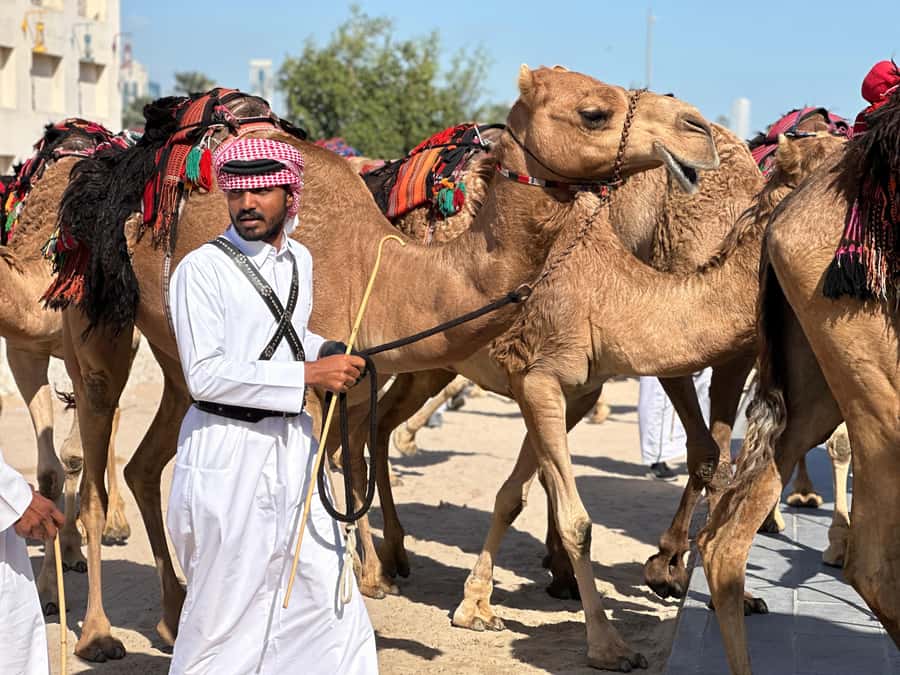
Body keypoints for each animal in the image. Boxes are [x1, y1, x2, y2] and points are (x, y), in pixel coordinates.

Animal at [0, 123, 138, 612]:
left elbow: (77, 454)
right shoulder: (23, 350)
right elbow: (49, 471)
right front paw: (46, 590)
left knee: (109, 420)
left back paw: (113, 526)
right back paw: (76, 547)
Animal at [52, 69, 719, 662]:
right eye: (593, 112)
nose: (699, 130)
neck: (379, 270)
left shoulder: (357, 375)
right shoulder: (315, 386)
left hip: (175, 356)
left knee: (146, 463)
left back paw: (172, 620)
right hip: (99, 325)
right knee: (93, 457)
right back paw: (98, 634)